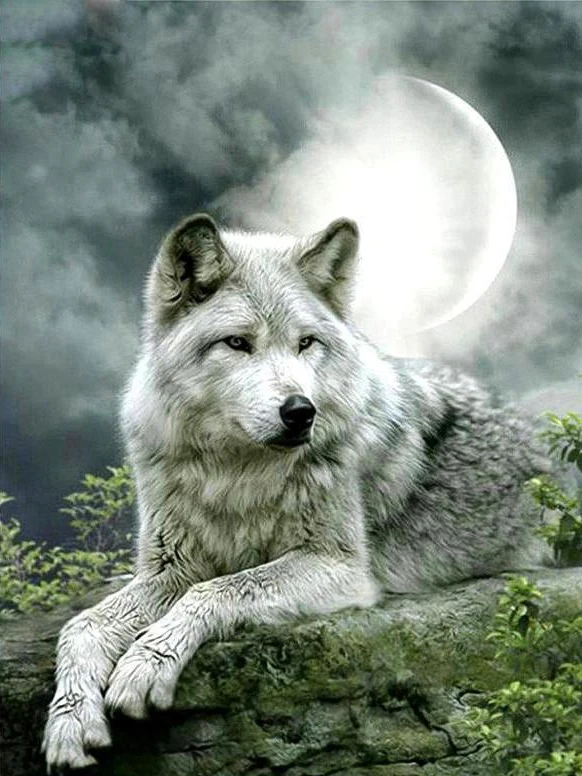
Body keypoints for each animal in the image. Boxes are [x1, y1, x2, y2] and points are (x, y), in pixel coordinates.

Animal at [43, 213, 551, 770]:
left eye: (306, 343)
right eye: (238, 343)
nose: (301, 411)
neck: (236, 474)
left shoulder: (340, 567)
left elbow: (218, 590)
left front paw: (144, 663)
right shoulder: (169, 569)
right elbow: (81, 627)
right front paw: (70, 722)